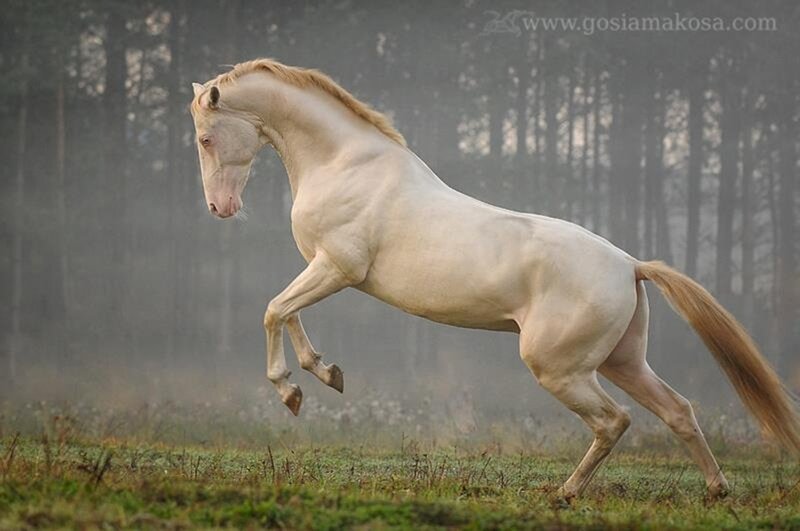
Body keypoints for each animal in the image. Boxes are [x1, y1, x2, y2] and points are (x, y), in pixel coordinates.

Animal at [189, 58, 800, 499]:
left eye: (205, 138)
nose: (220, 208)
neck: (344, 163)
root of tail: (629, 265)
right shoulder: (324, 266)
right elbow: (290, 313)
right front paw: (322, 374)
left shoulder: (336, 266)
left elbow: (275, 309)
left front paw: (291, 389)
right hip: (623, 362)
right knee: (677, 410)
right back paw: (717, 490)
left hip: (560, 368)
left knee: (613, 422)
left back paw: (565, 494)